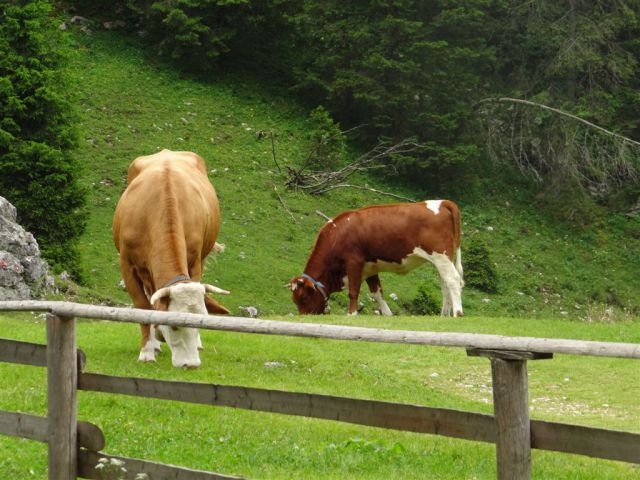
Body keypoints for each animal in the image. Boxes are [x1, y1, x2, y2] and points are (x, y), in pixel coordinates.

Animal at [112, 150, 230, 368]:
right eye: (174, 326)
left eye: (202, 320)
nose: (191, 364)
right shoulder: (127, 265)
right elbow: (143, 307)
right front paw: (147, 351)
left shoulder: (195, 262)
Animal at [292, 200, 464, 316]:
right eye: (294, 300)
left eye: (303, 298)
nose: (304, 318)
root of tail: (442, 202)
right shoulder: (370, 268)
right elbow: (377, 293)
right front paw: (388, 315)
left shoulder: (354, 263)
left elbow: (353, 291)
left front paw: (351, 314)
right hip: (441, 260)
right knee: (445, 284)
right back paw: (444, 315)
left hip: (441, 256)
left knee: (453, 280)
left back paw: (457, 313)